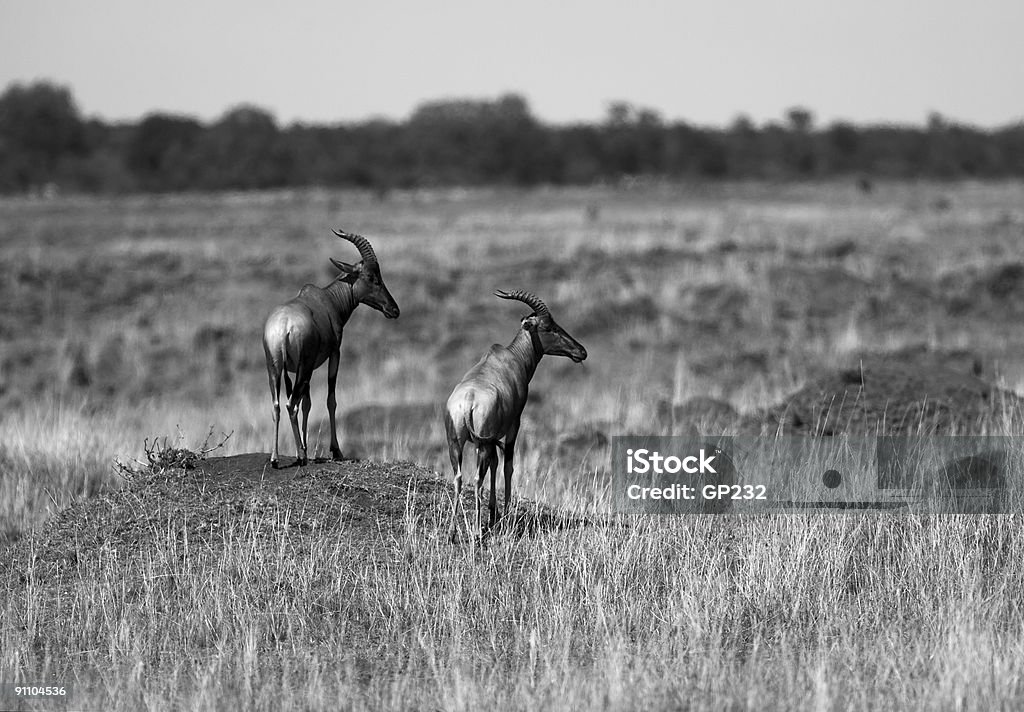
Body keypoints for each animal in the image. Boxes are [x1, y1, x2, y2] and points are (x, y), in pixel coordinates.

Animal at [262, 228, 397, 467]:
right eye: (372, 277)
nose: (394, 309)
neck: (327, 299)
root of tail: (284, 326)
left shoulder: (298, 370)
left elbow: (307, 403)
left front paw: (306, 445)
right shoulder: (335, 353)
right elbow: (330, 400)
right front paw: (336, 450)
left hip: (275, 368)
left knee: (278, 405)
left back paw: (276, 458)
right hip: (303, 367)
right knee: (290, 405)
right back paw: (300, 457)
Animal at [446, 288, 589, 540]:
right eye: (548, 326)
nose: (581, 352)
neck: (510, 358)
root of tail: (469, 399)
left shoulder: (492, 437)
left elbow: (495, 463)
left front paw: (494, 515)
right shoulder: (515, 423)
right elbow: (508, 466)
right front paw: (503, 516)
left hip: (457, 443)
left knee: (459, 478)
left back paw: (453, 533)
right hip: (481, 443)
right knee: (477, 478)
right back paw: (476, 532)